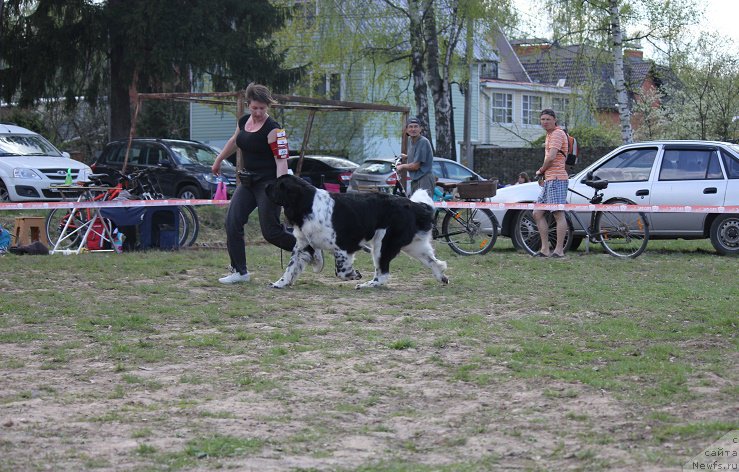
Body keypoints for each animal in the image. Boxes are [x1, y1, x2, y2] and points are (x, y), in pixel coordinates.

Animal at [268, 174, 450, 288]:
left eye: (277, 186)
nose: (264, 186)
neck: (308, 204)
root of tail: (412, 205)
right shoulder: (303, 245)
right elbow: (291, 268)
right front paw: (280, 284)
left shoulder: (344, 245)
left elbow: (341, 271)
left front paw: (354, 274)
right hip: (411, 245)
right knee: (434, 261)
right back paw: (441, 277)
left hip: (382, 244)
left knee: (383, 274)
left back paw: (368, 284)